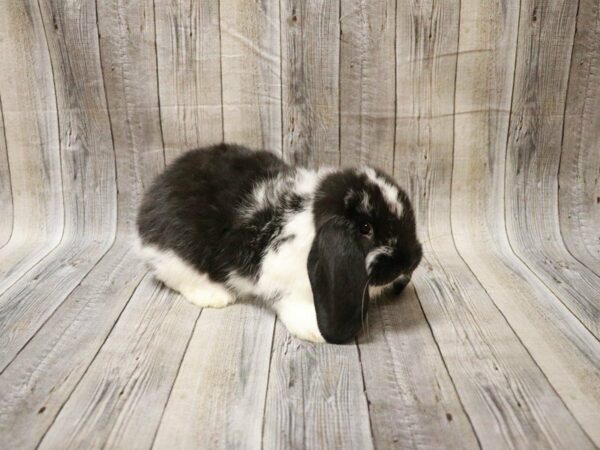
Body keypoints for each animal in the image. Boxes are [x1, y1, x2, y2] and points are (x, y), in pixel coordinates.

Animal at [136, 142, 422, 342]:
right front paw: (314, 330)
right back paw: (215, 296)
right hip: (176, 255)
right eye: (365, 228)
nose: (411, 260)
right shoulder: (281, 277)